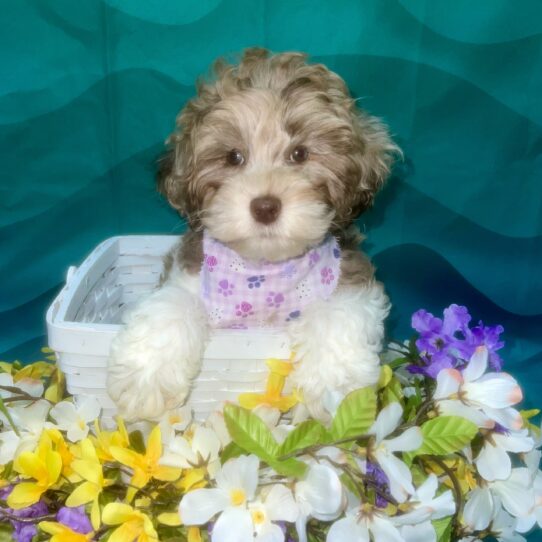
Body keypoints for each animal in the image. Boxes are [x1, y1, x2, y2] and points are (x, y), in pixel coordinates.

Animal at [108, 47, 402, 420]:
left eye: (299, 154)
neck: (263, 273)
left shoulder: (347, 277)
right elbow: (172, 304)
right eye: (233, 157)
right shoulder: (189, 274)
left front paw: (338, 389)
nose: (265, 207)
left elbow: (339, 313)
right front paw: (145, 380)